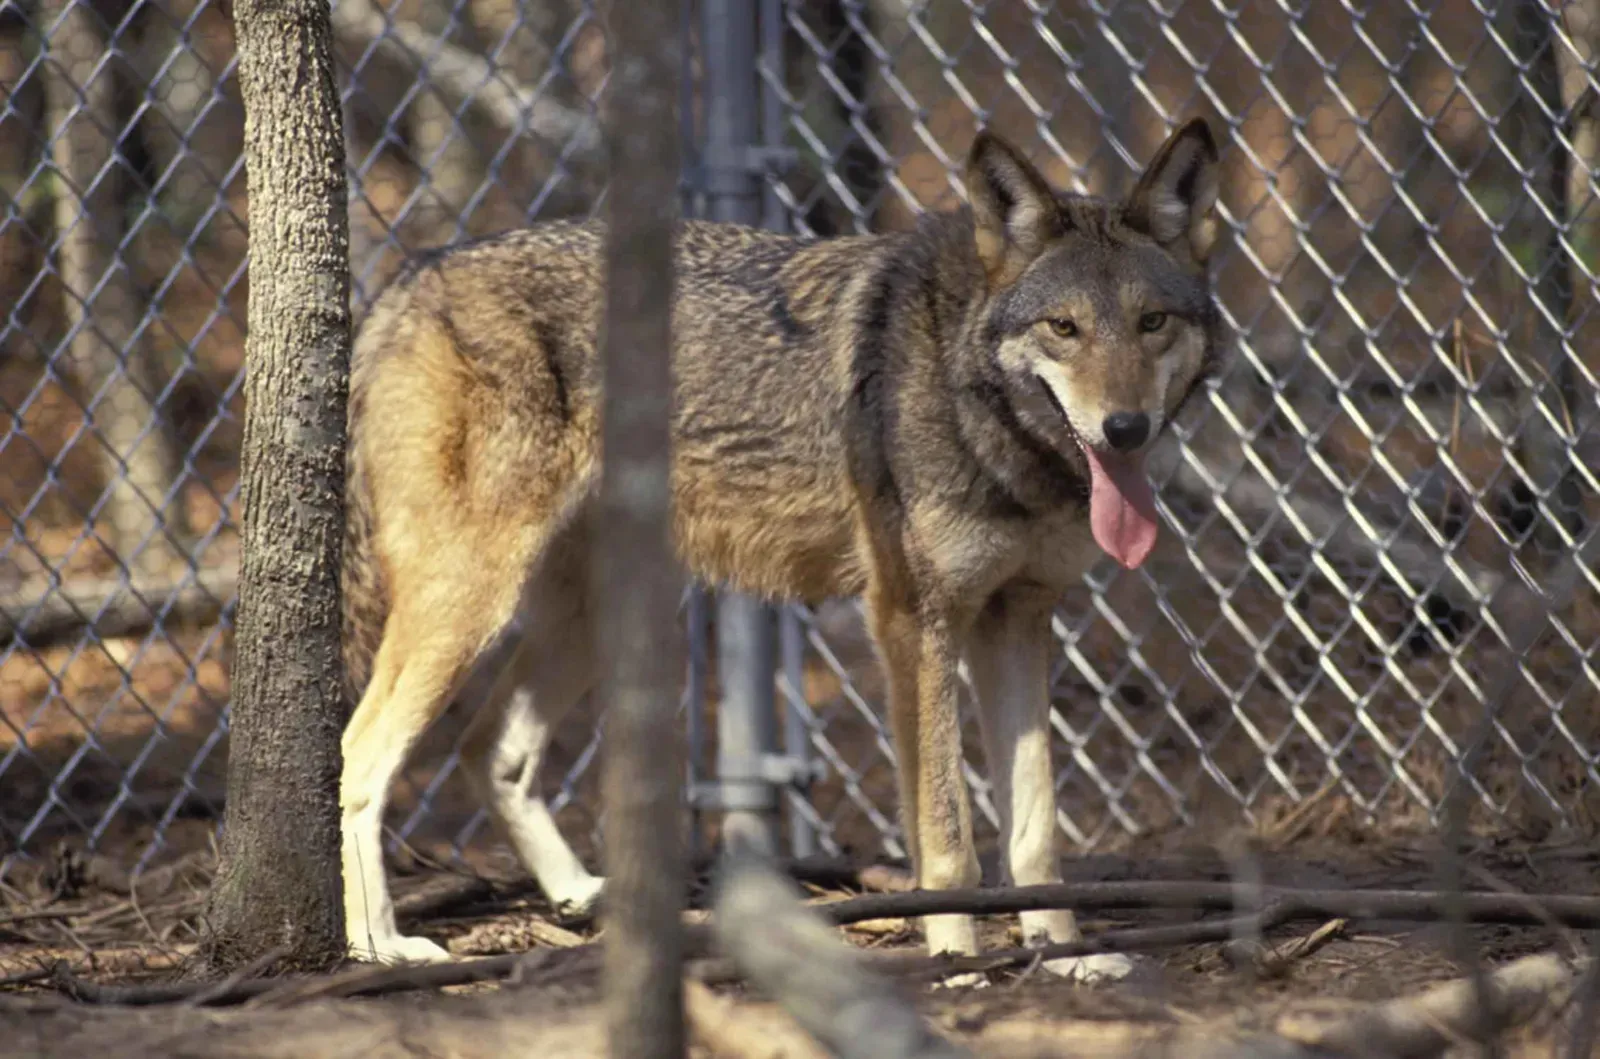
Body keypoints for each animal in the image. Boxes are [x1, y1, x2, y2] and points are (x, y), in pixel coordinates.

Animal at [336, 118, 1226, 981]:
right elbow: (945, 831)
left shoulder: (1019, 615)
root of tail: (410, 279)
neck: (977, 405)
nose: (1125, 428)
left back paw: (586, 902)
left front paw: (1064, 952)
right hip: (470, 605)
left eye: (1151, 323)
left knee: (491, 749)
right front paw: (955, 957)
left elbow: (1035, 827)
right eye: (1064, 328)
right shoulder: (914, 621)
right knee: (362, 753)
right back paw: (378, 947)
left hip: (591, 614)